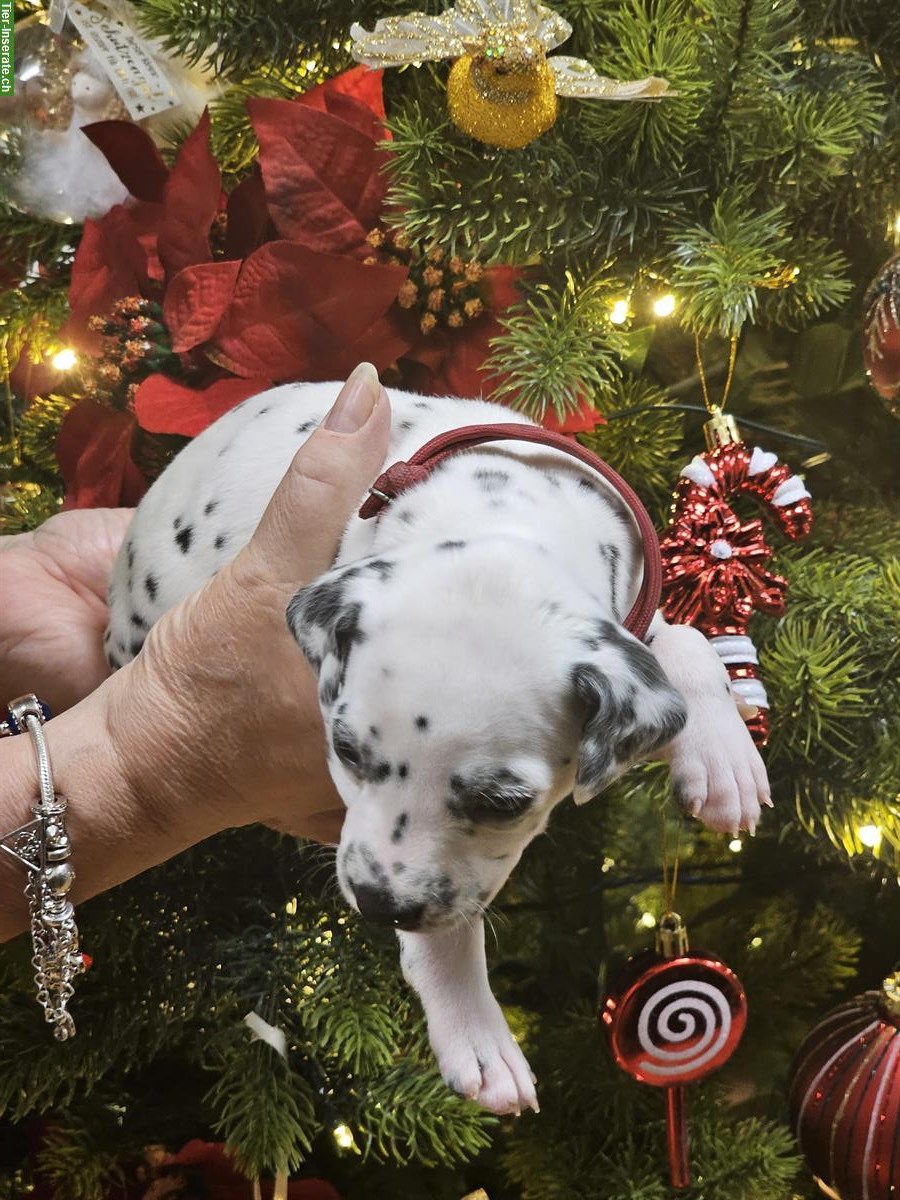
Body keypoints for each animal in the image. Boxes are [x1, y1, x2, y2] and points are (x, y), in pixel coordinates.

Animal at [105, 381, 768, 1113]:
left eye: (505, 802)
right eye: (346, 752)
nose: (377, 904)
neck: (504, 518)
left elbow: (688, 642)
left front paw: (725, 756)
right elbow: (450, 925)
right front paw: (475, 1030)